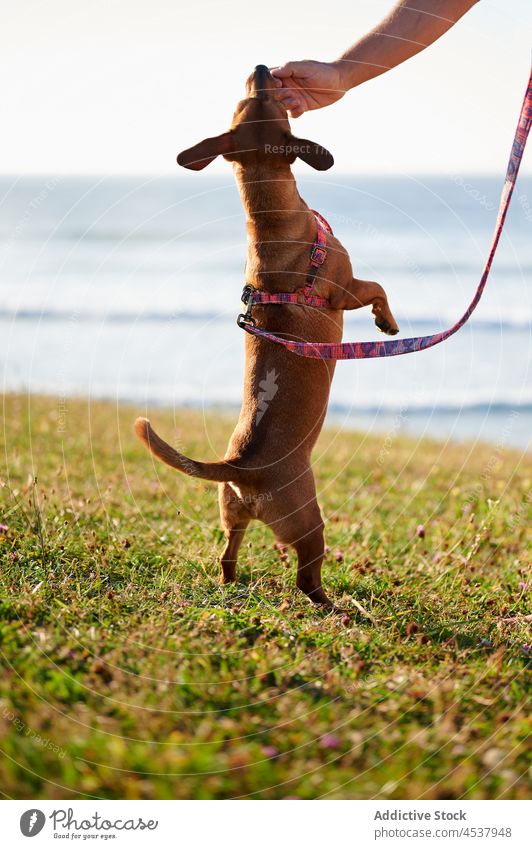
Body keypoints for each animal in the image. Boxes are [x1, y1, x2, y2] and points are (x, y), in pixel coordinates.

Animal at [135, 66, 396, 608]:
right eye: (271, 100)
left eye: (247, 98)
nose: (260, 68)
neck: (271, 220)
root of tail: (241, 467)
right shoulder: (349, 289)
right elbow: (380, 289)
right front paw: (389, 324)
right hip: (309, 524)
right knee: (307, 577)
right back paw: (337, 607)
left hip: (230, 516)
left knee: (225, 556)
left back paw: (232, 582)